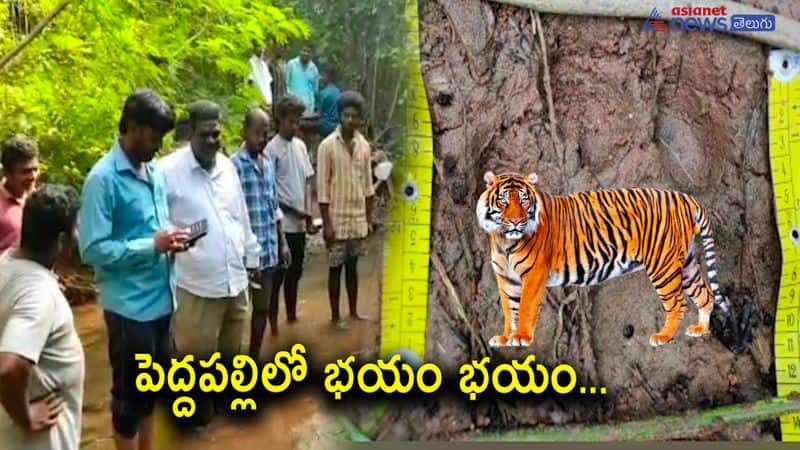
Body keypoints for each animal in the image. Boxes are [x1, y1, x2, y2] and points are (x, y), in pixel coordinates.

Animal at [476, 171, 732, 346]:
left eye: (524, 200)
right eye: (503, 201)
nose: (517, 221)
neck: (504, 241)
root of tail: (685, 198)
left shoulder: (534, 275)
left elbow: (526, 307)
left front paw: (521, 337)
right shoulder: (506, 278)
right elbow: (510, 308)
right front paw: (506, 337)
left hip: (663, 265)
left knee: (678, 303)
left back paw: (663, 336)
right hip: (685, 264)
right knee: (705, 295)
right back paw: (699, 329)